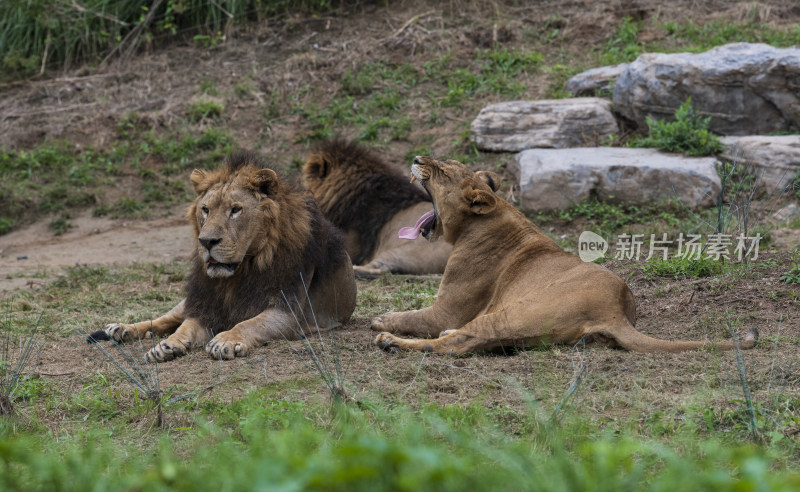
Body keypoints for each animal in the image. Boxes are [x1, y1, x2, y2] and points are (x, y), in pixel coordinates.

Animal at [87, 152, 356, 364]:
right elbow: (184, 326)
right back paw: (122, 329)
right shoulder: (205, 305)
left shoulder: (287, 312)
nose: (206, 242)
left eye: (235, 210)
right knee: (166, 318)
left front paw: (226, 340)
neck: (240, 272)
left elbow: (249, 324)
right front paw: (168, 345)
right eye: (205, 210)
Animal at [370, 157, 756, 354]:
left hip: (515, 311)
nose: (417, 158)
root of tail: (616, 311)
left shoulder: (446, 309)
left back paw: (391, 343)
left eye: (443, 171)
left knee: (458, 342)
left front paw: (383, 320)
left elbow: (414, 315)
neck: (477, 222)